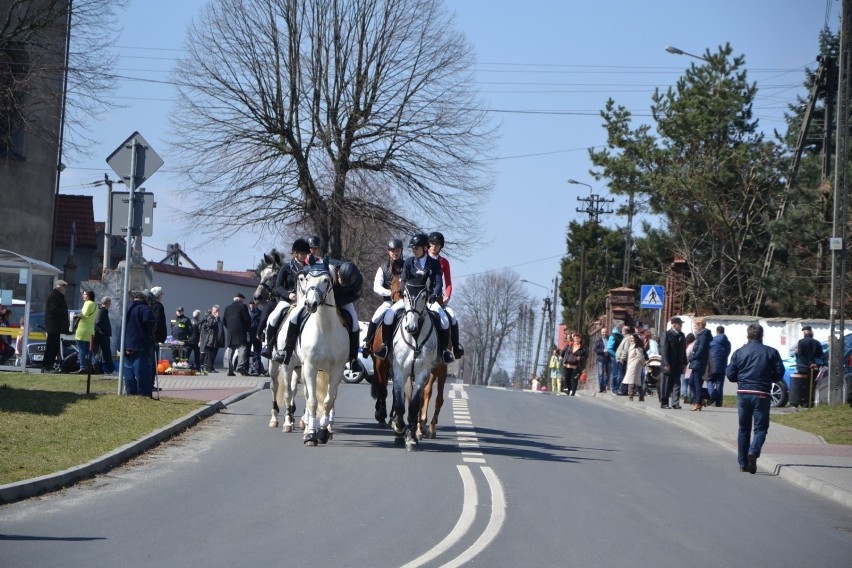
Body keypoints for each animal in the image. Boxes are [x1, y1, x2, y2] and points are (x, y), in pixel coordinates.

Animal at [296, 264, 350, 446]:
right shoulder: (310, 367)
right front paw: (311, 435)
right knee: (307, 396)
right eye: (306, 278)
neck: (324, 328)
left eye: (326, 280)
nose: (310, 304)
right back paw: (306, 427)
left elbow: (328, 401)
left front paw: (323, 432)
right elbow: (312, 401)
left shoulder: (337, 370)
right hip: (304, 370)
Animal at [388, 282, 440, 450]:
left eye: (424, 296)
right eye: (405, 294)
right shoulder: (399, 371)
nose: (410, 327)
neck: (415, 337)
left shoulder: (423, 373)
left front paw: (411, 438)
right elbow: (399, 403)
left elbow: (415, 404)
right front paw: (399, 430)